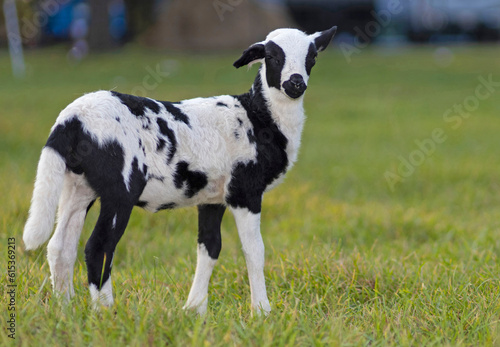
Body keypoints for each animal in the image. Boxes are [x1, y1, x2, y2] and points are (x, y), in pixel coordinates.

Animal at [22, 26, 336, 316]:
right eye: (272, 56)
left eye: (312, 57)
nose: (295, 83)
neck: (258, 117)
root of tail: (71, 120)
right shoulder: (245, 192)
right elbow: (254, 251)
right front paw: (261, 311)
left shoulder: (213, 198)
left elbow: (209, 249)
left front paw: (194, 310)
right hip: (119, 189)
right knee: (98, 247)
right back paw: (106, 312)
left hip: (77, 185)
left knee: (60, 246)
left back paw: (64, 310)